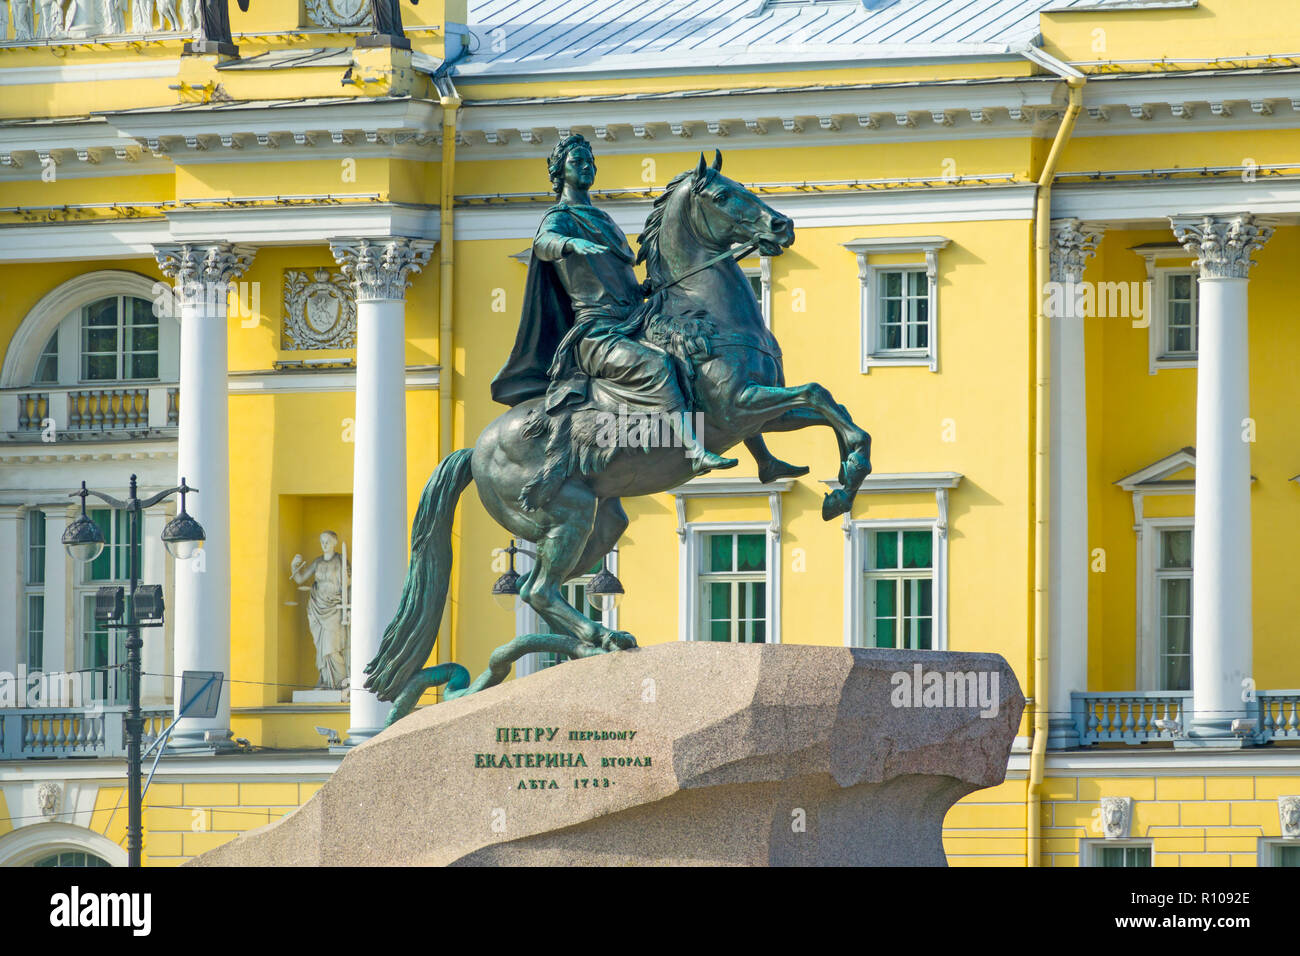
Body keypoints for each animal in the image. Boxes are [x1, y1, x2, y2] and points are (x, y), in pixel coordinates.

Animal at [364, 149, 873, 717]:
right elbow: (817, 395)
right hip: (566, 514)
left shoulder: (759, 413)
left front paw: (839, 482)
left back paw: (594, 643)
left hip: (601, 522)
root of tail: (474, 448)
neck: (701, 313)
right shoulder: (738, 405)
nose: (781, 226)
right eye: (723, 196)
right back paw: (599, 639)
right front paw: (839, 483)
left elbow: (828, 404)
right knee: (538, 589)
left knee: (552, 589)